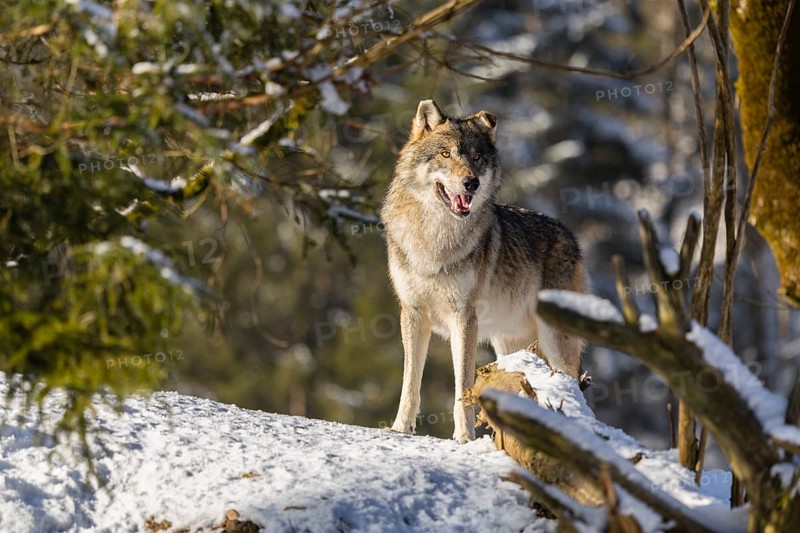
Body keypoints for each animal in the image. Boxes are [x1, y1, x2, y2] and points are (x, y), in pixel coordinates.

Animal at [381, 100, 587, 442]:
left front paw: (464, 437)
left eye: (477, 158)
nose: (471, 183)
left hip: (556, 344)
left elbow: (462, 385)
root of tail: (570, 236)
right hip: (509, 346)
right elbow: (410, 382)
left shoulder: (464, 317)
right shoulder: (413, 313)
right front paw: (401, 428)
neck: (433, 237)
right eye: (446, 154)